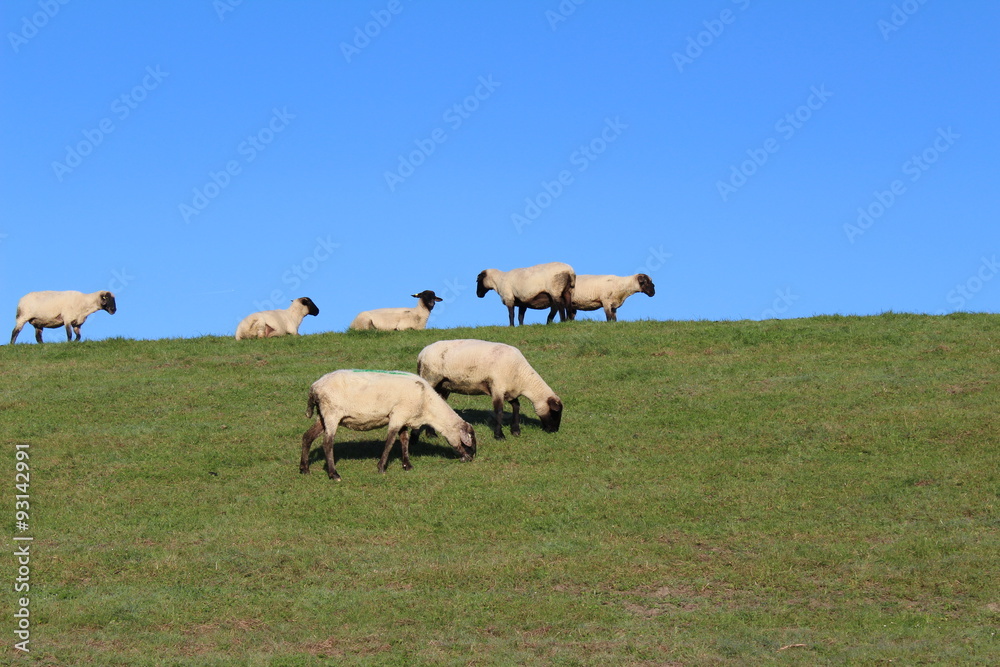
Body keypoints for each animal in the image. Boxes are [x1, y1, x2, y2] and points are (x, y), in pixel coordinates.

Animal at [300, 369, 477, 480]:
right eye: (468, 442)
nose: (470, 458)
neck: (427, 407)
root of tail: (314, 387)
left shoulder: (404, 417)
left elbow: (404, 440)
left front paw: (407, 465)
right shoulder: (398, 415)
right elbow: (391, 441)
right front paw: (381, 467)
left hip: (322, 416)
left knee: (307, 437)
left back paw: (304, 469)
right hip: (332, 413)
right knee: (327, 442)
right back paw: (334, 474)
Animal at [417, 339, 563, 440]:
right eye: (555, 412)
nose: (554, 430)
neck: (521, 375)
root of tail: (421, 353)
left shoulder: (510, 390)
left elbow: (516, 406)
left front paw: (515, 431)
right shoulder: (497, 387)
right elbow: (499, 411)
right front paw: (499, 435)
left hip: (444, 385)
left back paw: (431, 434)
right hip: (431, 377)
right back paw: (431, 435)